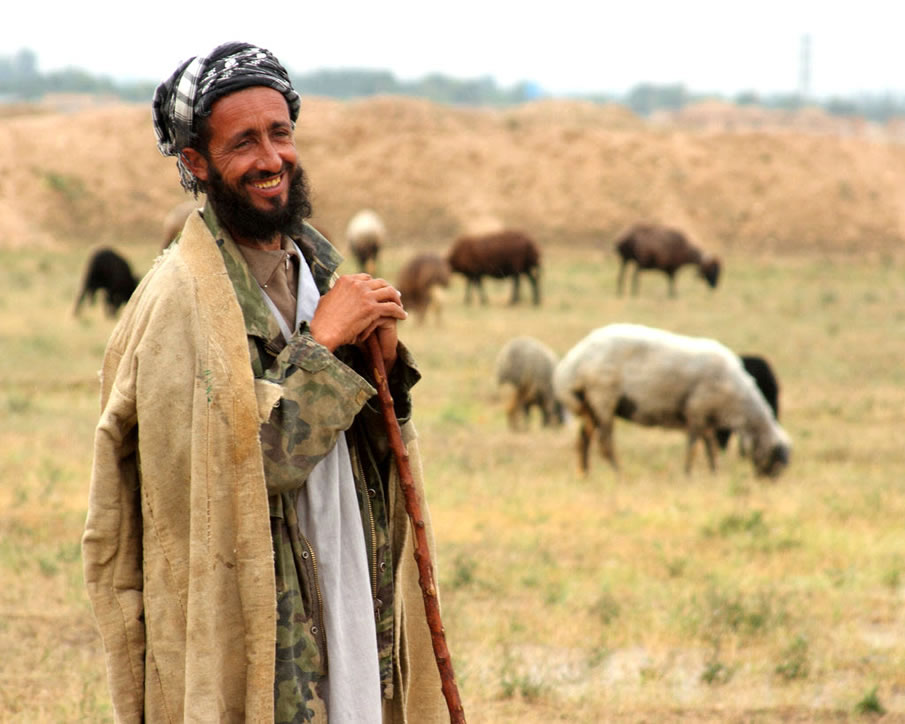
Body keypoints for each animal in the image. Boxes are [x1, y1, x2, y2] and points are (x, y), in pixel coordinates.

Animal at [548, 326, 788, 478]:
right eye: (776, 463)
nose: (767, 482)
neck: (739, 399)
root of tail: (570, 364)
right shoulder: (697, 411)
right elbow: (693, 448)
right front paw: (688, 474)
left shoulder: (707, 419)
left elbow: (710, 449)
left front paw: (714, 473)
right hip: (603, 398)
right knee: (605, 443)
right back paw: (619, 473)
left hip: (589, 405)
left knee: (583, 440)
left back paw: (584, 473)